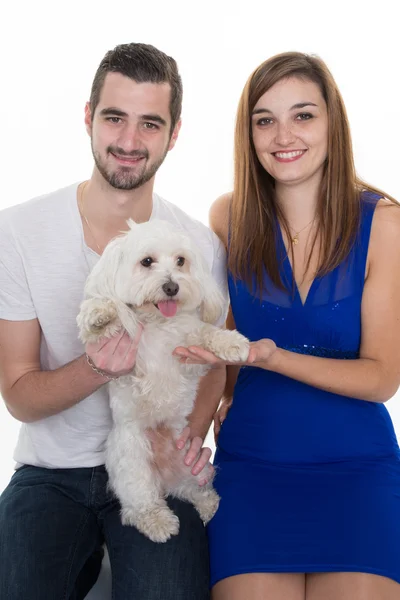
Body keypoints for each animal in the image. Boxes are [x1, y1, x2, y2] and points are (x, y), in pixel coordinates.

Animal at [76, 218, 248, 540]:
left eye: (181, 261)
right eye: (147, 262)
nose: (172, 286)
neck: (158, 321)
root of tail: (165, 478)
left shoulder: (187, 352)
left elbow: (205, 333)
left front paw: (232, 343)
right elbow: (100, 321)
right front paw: (100, 313)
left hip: (193, 462)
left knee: (191, 488)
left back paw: (207, 504)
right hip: (130, 459)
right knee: (138, 503)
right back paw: (157, 520)